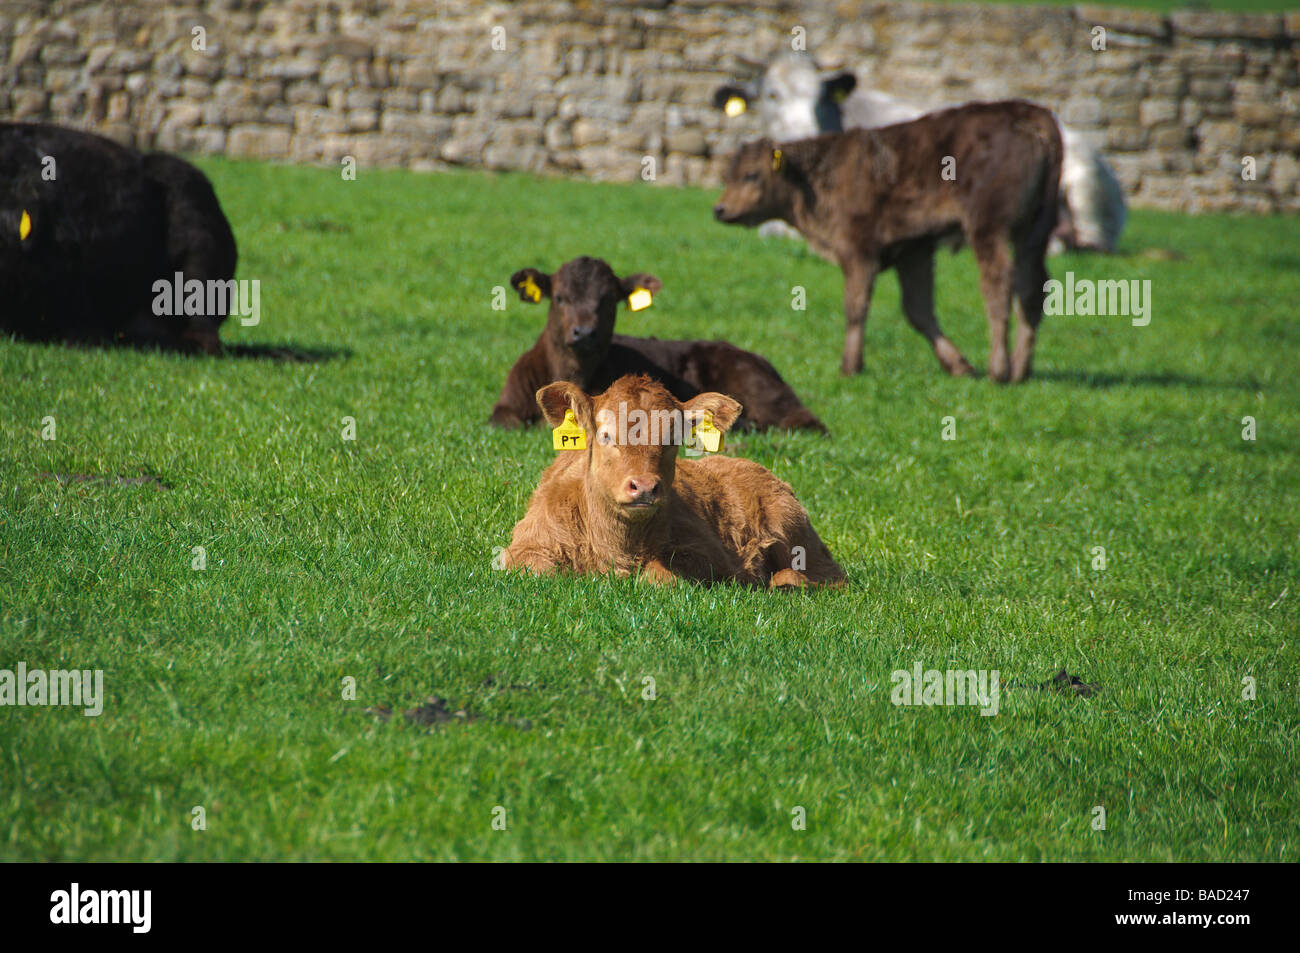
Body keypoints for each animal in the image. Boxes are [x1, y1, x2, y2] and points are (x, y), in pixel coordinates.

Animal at [496, 374, 842, 587]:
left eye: (673, 438)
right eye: (606, 435)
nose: (644, 487)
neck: (616, 546)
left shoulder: (712, 556)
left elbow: (661, 575)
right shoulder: (524, 547)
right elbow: (540, 570)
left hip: (794, 533)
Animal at [712, 97, 1066, 379]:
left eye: (752, 175)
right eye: (728, 175)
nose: (720, 209)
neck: (822, 175)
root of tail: (1029, 113)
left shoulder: (858, 249)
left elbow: (856, 306)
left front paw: (850, 366)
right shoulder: (914, 249)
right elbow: (918, 310)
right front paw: (958, 365)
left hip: (988, 228)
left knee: (998, 285)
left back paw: (999, 369)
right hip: (1034, 234)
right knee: (1032, 287)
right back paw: (1020, 369)